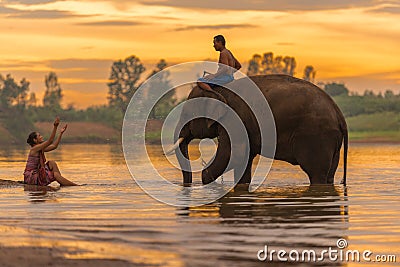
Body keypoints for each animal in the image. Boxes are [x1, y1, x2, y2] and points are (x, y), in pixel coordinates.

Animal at [166, 73, 346, 186]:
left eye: (187, 114)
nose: (187, 185)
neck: (218, 89)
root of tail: (338, 113)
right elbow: (243, 160)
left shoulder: (235, 119)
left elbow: (233, 154)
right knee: (329, 173)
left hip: (316, 136)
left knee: (316, 173)